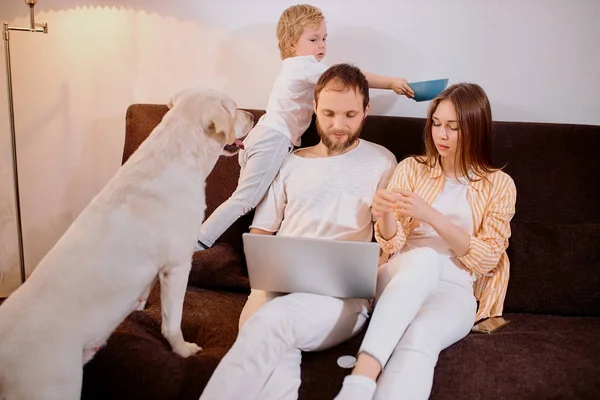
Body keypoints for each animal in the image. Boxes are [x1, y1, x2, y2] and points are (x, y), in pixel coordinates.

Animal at [0, 88, 253, 400]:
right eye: (234, 108)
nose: (253, 115)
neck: (176, 155)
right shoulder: (177, 266)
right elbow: (172, 321)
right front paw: (183, 350)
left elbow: (144, 293)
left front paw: (139, 307)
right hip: (54, 387)